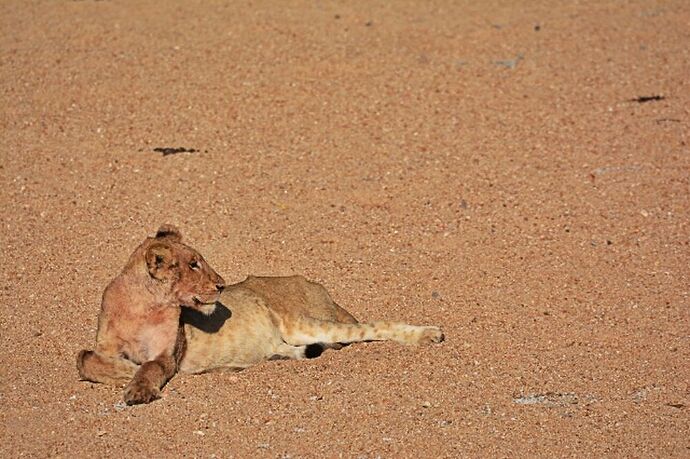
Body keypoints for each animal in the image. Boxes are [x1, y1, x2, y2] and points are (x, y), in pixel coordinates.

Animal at [78, 225, 444, 404]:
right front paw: (125, 372)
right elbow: (85, 358)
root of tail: (311, 283)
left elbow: (152, 366)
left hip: (303, 322)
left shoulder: (169, 354)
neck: (142, 305)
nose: (222, 285)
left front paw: (137, 385)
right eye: (193, 264)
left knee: (373, 327)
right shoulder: (104, 346)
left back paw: (430, 334)